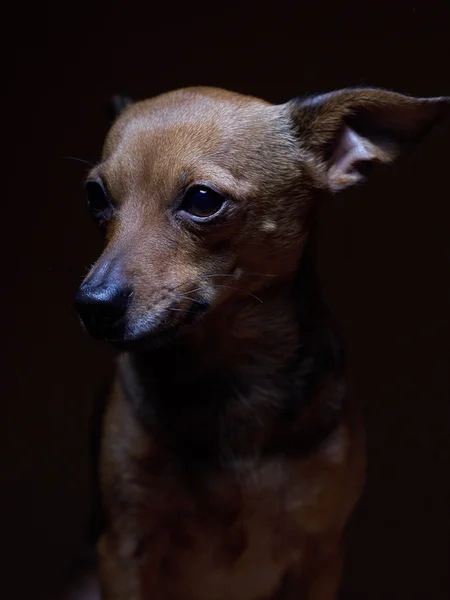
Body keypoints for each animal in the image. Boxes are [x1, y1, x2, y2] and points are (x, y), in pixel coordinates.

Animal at [70, 85, 446, 600]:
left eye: (202, 200)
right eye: (95, 196)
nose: (92, 305)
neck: (230, 376)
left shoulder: (320, 557)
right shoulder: (123, 553)